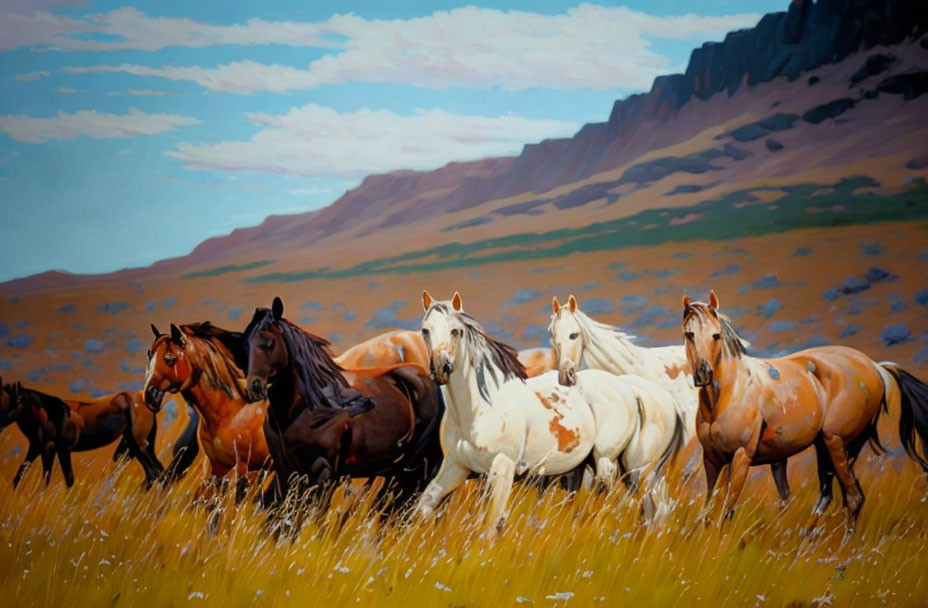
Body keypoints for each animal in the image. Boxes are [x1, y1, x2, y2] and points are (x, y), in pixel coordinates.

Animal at [239, 296, 442, 510]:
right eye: (243, 345)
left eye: (268, 344)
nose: (254, 387)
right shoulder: (286, 471)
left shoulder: (324, 471)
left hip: (416, 462)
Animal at [680, 290, 928, 532]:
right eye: (689, 334)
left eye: (716, 335)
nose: (703, 374)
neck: (729, 392)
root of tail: (876, 367)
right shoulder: (714, 460)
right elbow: (710, 511)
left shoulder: (741, 456)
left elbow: (726, 510)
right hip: (829, 448)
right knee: (830, 496)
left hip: (836, 443)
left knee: (853, 497)